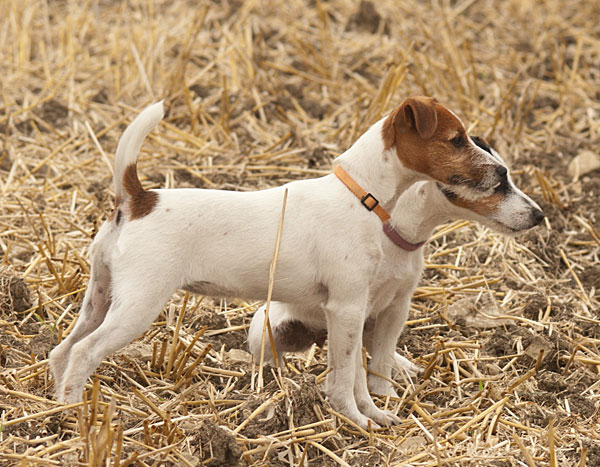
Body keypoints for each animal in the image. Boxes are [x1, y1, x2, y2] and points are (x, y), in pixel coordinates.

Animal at [49, 97, 512, 430]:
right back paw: (74, 412)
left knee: (62, 350)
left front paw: (373, 414)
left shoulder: (357, 311)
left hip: (100, 298)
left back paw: (52, 407)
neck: (361, 196)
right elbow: (343, 378)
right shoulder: (346, 307)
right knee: (84, 353)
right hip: (137, 306)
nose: (500, 170)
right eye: (456, 139)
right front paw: (353, 420)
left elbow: (357, 375)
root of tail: (138, 200)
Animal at [248, 135, 544, 398]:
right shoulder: (358, 302)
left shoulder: (399, 303)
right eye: (497, 185)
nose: (540, 215)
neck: (396, 235)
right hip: (264, 329)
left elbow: (383, 354)